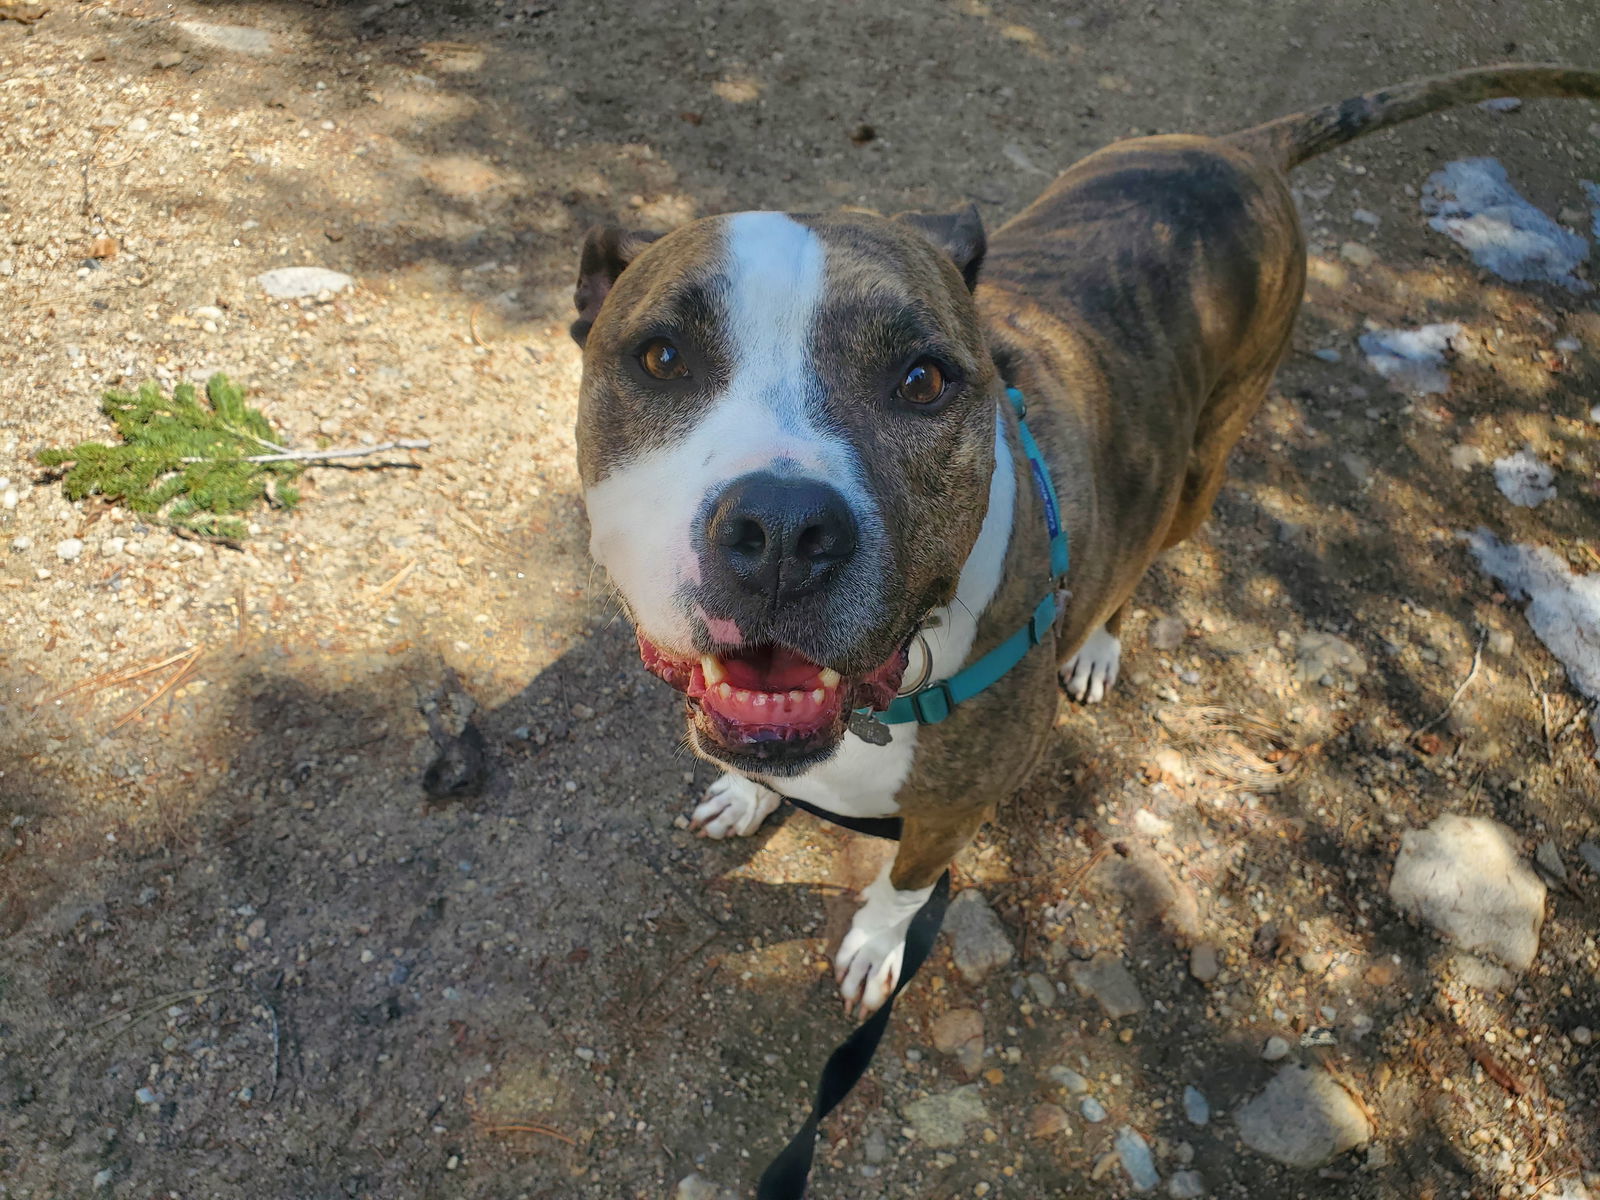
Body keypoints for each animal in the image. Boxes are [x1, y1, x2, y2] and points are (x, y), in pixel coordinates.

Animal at [569, 65, 1593, 1017]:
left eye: (923, 379)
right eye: (663, 357)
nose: (783, 528)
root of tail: (1238, 149)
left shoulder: (953, 812)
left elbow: (903, 887)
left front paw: (874, 944)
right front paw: (747, 795)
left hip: (1194, 475)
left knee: (1142, 564)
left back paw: (1096, 646)